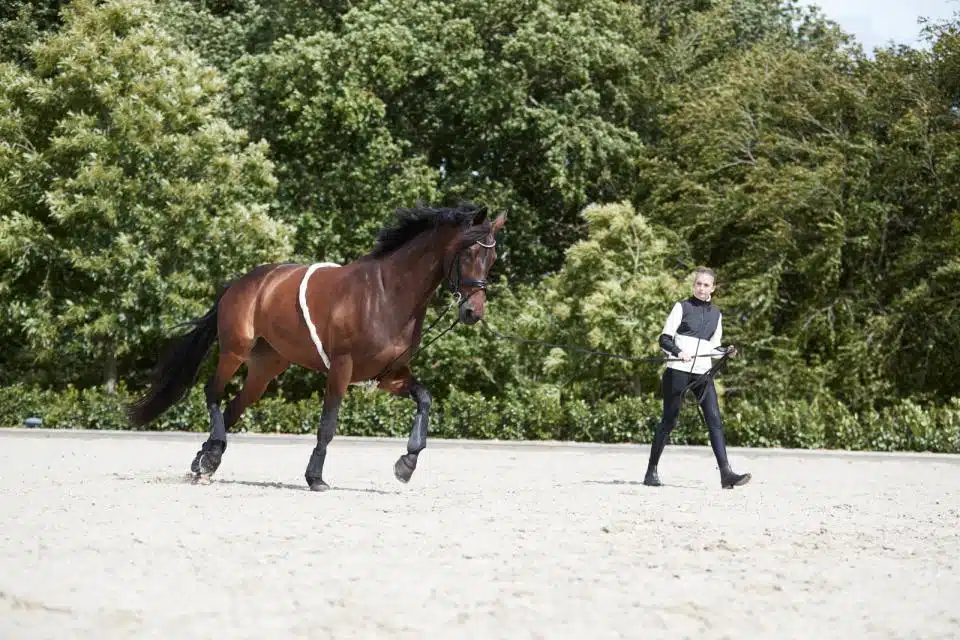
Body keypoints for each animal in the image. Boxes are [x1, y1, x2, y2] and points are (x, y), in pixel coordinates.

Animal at [127, 203, 506, 491]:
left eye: (492, 258)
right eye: (469, 251)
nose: (473, 312)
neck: (387, 294)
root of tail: (243, 282)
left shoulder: (390, 375)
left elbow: (425, 399)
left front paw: (407, 463)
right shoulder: (342, 368)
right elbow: (328, 423)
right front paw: (315, 478)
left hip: (265, 368)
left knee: (234, 407)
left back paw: (206, 460)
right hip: (235, 351)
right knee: (212, 392)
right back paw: (208, 458)